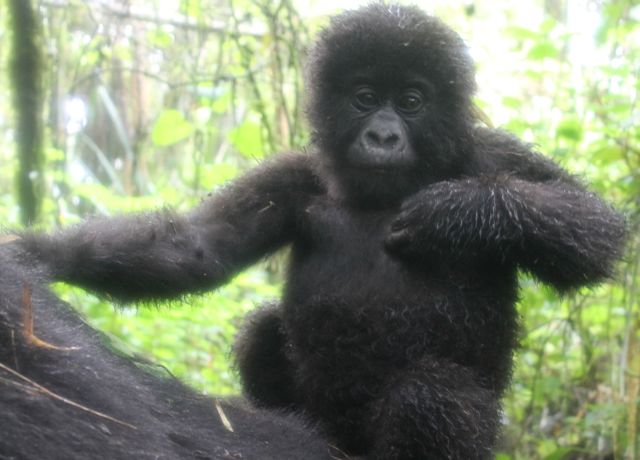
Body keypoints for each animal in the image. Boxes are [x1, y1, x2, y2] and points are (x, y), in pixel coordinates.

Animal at [18, 3, 624, 460]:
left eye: (411, 101)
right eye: (364, 97)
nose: (382, 136)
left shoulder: (491, 154)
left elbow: (594, 229)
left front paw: (457, 212)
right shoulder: (293, 178)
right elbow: (197, 248)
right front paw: (42, 252)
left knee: (434, 394)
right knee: (262, 330)